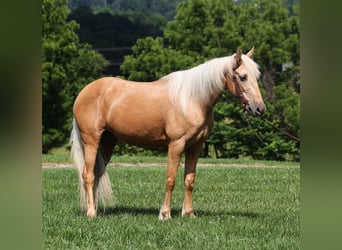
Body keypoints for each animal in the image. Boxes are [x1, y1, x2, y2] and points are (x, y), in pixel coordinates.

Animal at [69, 47, 266, 219]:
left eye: (256, 77)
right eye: (242, 77)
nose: (259, 109)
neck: (192, 99)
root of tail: (84, 92)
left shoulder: (196, 146)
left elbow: (189, 180)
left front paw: (189, 214)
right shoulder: (176, 145)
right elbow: (170, 179)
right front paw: (165, 214)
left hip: (108, 142)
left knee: (97, 175)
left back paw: (94, 209)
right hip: (91, 140)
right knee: (88, 175)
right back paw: (91, 213)